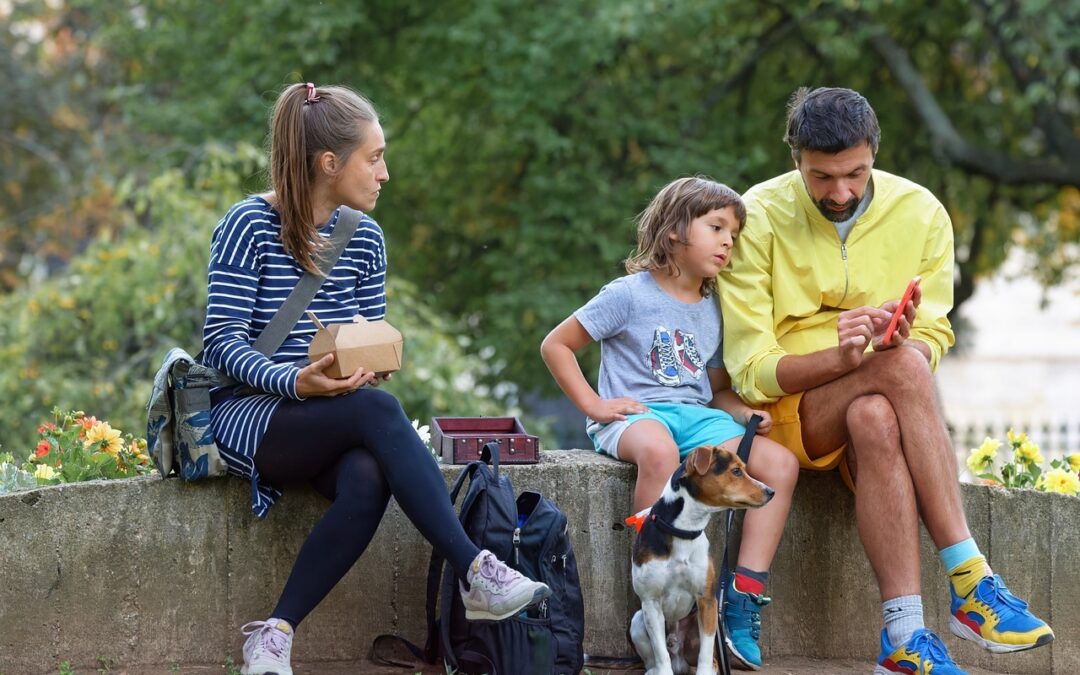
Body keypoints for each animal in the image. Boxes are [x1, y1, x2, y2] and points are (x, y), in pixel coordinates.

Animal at [630, 442, 773, 673]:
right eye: (736, 471)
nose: (771, 491)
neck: (684, 531)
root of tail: (679, 657)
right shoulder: (651, 603)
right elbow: (661, 655)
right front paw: (663, 670)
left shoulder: (707, 601)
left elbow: (705, 654)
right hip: (637, 621)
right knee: (656, 659)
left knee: (711, 658)